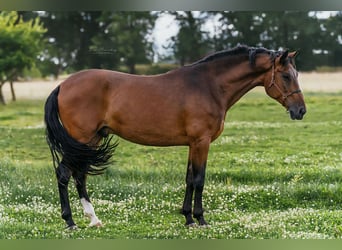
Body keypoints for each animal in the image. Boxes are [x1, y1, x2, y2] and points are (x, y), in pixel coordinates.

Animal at [44, 45, 306, 229]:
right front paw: (201, 219)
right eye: (286, 76)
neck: (209, 86)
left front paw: (188, 218)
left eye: (296, 74)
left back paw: (93, 219)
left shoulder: (193, 144)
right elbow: (199, 179)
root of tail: (63, 85)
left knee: (79, 176)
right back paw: (70, 222)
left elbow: (189, 179)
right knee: (64, 174)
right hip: (81, 140)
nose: (300, 111)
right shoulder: (201, 142)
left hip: (91, 141)